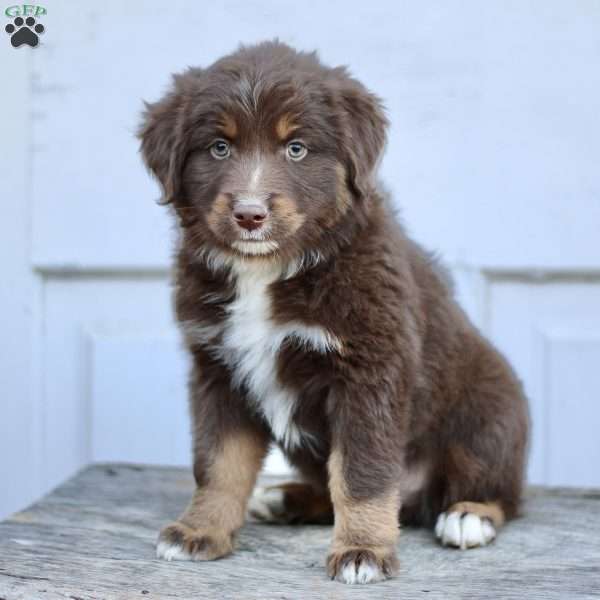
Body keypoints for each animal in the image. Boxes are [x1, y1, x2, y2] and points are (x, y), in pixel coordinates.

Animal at [138, 39, 528, 584]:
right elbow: (218, 463)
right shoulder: (217, 368)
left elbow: (362, 475)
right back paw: (285, 499)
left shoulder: (368, 372)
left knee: (499, 490)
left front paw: (362, 551)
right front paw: (200, 530)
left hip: (491, 410)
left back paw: (469, 514)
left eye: (296, 148)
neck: (269, 270)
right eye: (219, 147)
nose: (250, 215)